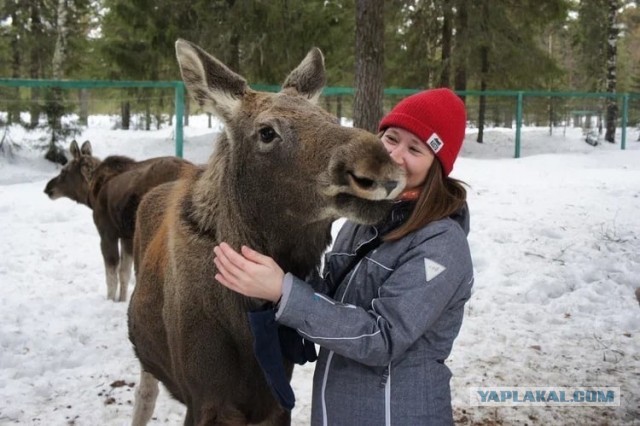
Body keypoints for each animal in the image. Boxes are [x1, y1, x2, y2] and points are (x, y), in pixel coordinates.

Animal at [44, 140, 195, 301]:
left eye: (64, 171)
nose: (48, 188)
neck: (91, 191)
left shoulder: (107, 234)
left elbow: (111, 276)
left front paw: (110, 300)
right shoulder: (127, 236)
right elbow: (124, 273)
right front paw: (122, 299)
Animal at [127, 39, 406, 425]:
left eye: (332, 118)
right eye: (267, 132)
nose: (377, 167)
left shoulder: (275, 401)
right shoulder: (206, 402)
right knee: (145, 395)